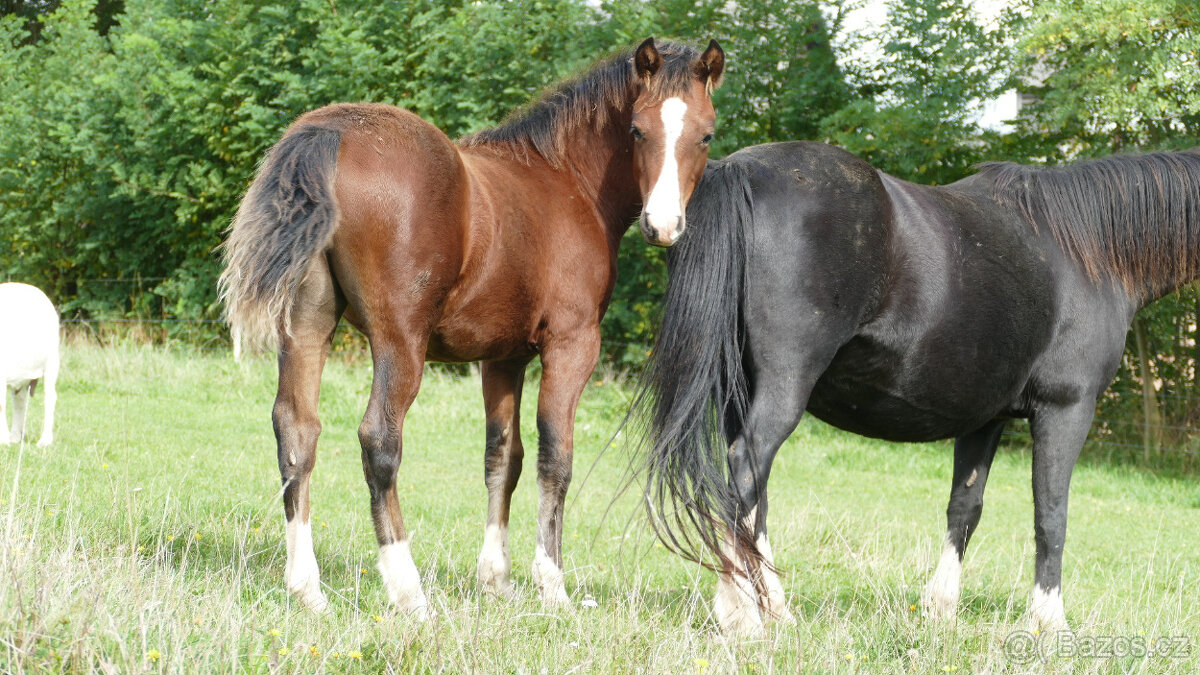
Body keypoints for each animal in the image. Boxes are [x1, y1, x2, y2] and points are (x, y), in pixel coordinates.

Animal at [0, 282, 60, 448]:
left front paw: (2, 440)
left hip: (52, 360)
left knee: (50, 397)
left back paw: (45, 440)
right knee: (20, 401)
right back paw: (15, 436)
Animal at [218, 38, 725, 615]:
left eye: (706, 134)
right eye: (638, 130)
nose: (662, 226)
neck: (566, 180)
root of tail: (334, 131)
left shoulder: (502, 356)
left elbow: (503, 457)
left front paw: (496, 579)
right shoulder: (572, 344)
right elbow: (556, 457)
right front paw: (552, 586)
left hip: (307, 325)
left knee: (297, 430)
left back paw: (308, 588)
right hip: (400, 340)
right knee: (379, 440)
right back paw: (408, 590)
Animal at [634, 141, 1200, 636]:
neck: (1090, 250)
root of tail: (740, 171)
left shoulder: (985, 418)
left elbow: (965, 509)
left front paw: (940, 608)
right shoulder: (1067, 409)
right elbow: (1051, 515)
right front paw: (1049, 622)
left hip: (738, 391)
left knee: (751, 496)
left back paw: (775, 608)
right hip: (782, 389)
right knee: (743, 477)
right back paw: (742, 615)